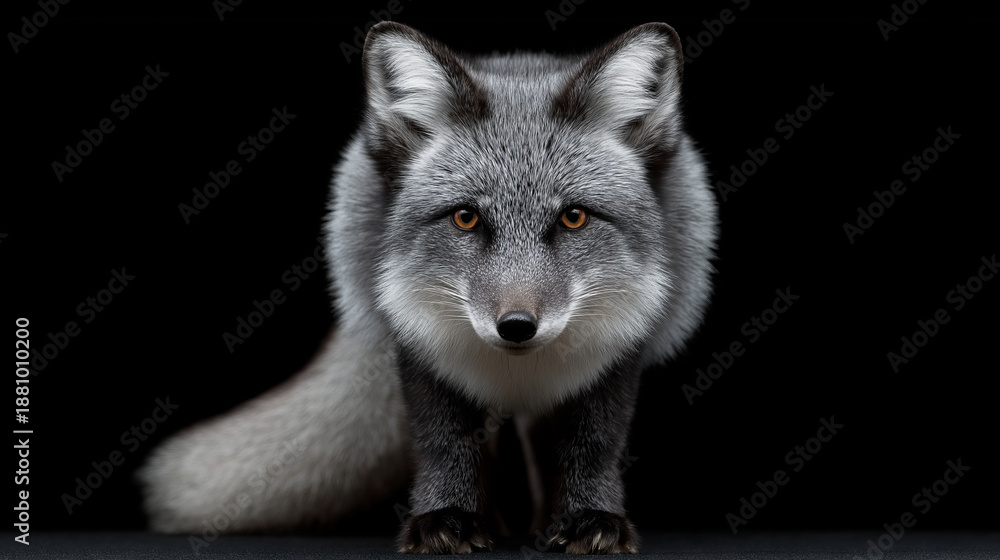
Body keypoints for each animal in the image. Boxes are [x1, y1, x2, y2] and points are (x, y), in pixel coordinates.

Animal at [139, 21, 718, 554]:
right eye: (465, 218)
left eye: (573, 218)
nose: (516, 327)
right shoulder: (419, 347)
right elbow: (444, 443)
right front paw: (447, 520)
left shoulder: (620, 347)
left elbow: (593, 445)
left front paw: (588, 520)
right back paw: (499, 527)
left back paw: (533, 527)